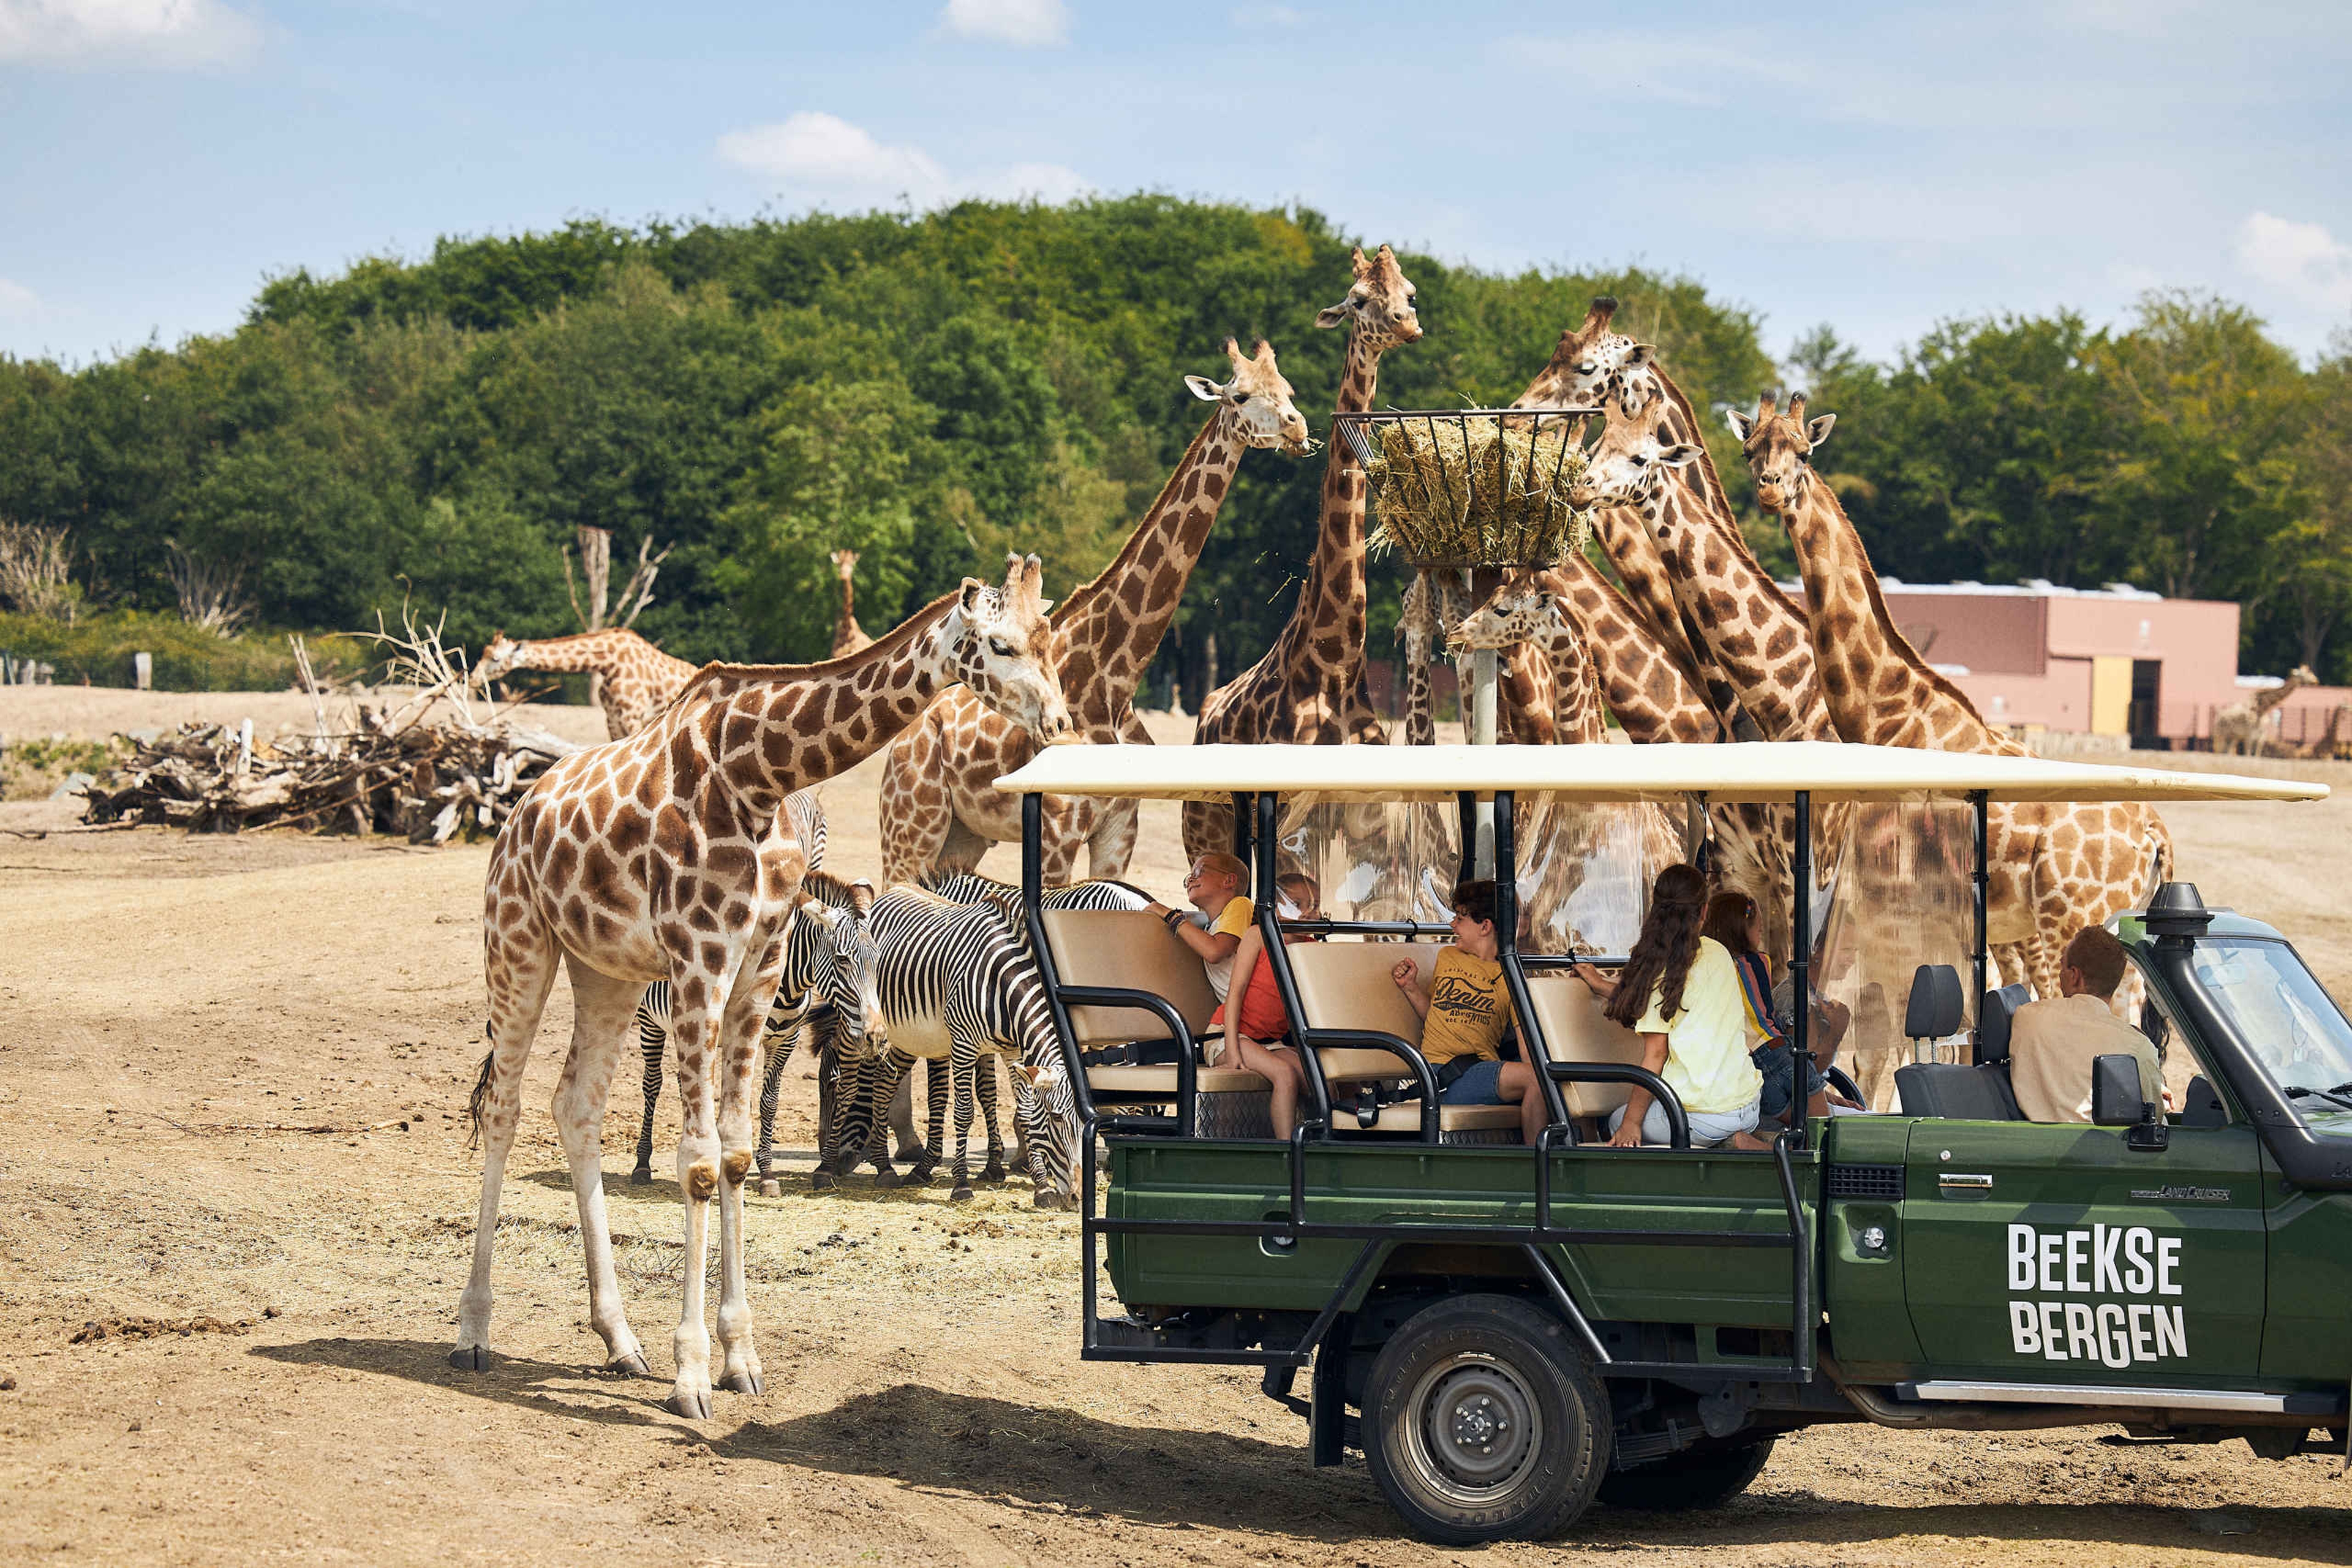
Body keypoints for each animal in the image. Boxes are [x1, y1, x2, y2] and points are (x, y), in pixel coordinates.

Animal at [830, 886, 1081, 1206]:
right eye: (1057, 1119)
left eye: (1085, 1122)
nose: (1075, 1197)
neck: (1002, 983)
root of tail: (891, 890)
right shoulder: (964, 1045)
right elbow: (964, 1113)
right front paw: (961, 1184)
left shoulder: (1013, 1050)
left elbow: (1026, 1114)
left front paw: (1042, 1187)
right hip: (857, 1024)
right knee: (849, 1085)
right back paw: (830, 1167)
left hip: (908, 1037)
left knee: (884, 1086)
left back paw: (886, 1168)